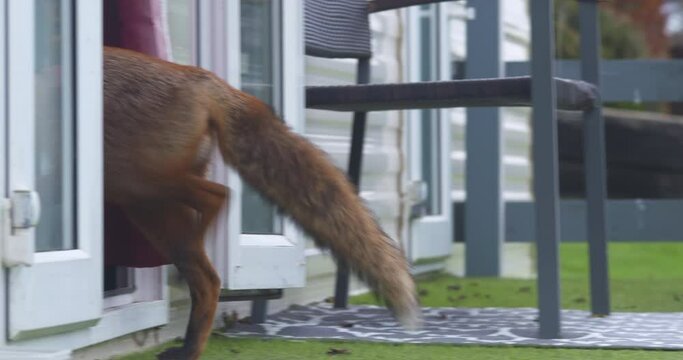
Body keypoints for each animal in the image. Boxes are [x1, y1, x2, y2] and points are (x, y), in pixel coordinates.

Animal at [103, 46, 420, 358]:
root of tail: (204, 78)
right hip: (146, 202)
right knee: (208, 279)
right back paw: (189, 349)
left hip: (140, 183)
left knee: (218, 196)